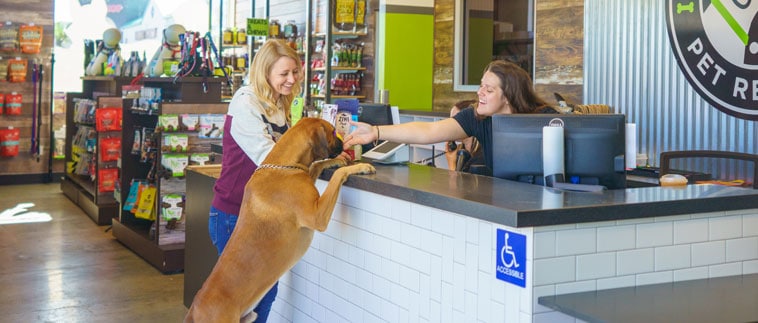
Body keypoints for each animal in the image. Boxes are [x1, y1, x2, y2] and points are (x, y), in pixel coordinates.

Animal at [187, 117, 378, 322]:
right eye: (333, 131)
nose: (344, 143)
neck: (284, 165)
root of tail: (194, 309)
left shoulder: (306, 176)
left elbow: (316, 165)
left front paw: (336, 160)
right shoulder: (317, 215)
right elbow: (336, 176)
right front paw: (360, 167)